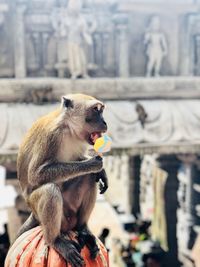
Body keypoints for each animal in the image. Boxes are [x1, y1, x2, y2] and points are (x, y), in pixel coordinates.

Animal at [16, 94, 108, 267]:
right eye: (95, 110)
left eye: (101, 110)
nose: (105, 122)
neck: (68, 129)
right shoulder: (51, 136)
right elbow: (36, 174)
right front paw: (93, 163)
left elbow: (80, 161)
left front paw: (102, 172)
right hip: (41, 209)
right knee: (49, 191)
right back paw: (55, 240)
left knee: (88, 177)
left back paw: (83, 228)